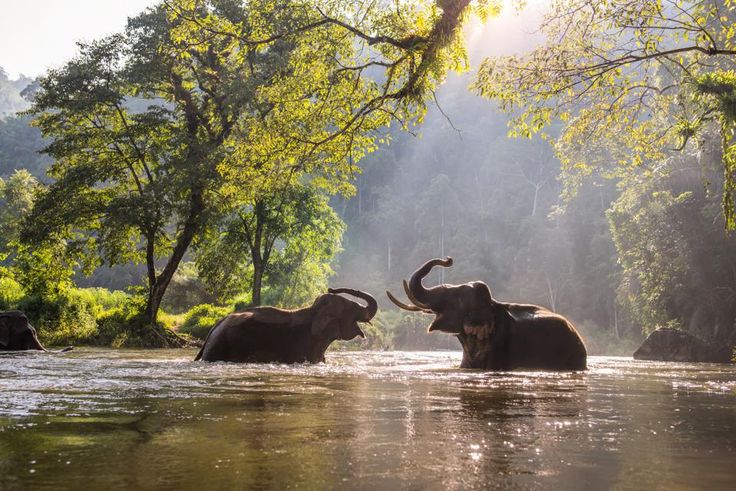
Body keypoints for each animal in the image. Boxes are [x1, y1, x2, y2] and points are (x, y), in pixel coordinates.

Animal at [194, 286, 376, 364]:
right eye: (352, 308)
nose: (331, 288)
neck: (312, 310)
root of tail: (215, 327)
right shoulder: (302, 346)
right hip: (219, 346)